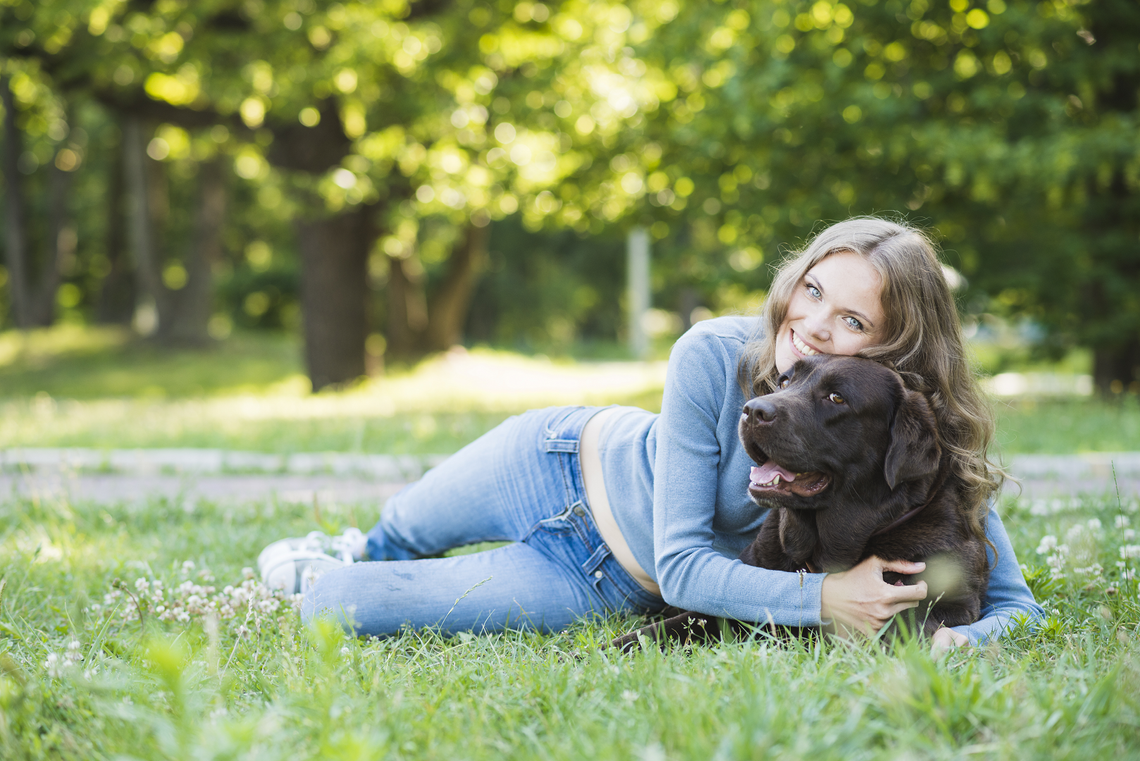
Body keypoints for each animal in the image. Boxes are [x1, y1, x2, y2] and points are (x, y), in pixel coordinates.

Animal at [615, 353, 989, 651]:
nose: (752, 411)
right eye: (785, 381)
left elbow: (904, 621)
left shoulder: (958, 603)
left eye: (836, 397)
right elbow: (652, 633)